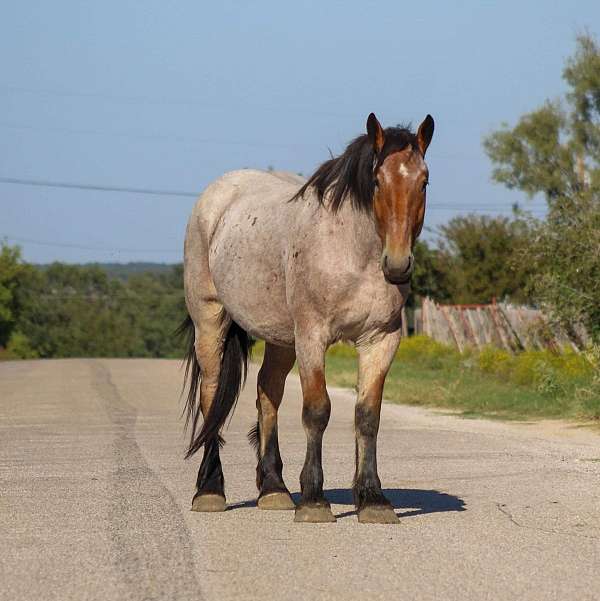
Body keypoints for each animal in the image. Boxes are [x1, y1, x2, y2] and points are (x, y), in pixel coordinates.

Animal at [180, 111, 434, 520]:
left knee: (267, 394)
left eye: (423, 182)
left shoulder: (381, 340)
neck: (352, 252)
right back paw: (210, 491)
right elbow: (317, 410)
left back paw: (274, 489)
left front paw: (373, 499)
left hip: (281, 338)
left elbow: (368, 415)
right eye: (377, 181)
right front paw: (314, 499)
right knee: (212, 396)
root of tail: (215, 198)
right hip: (210, 323)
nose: (397, 265)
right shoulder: (313, 337)